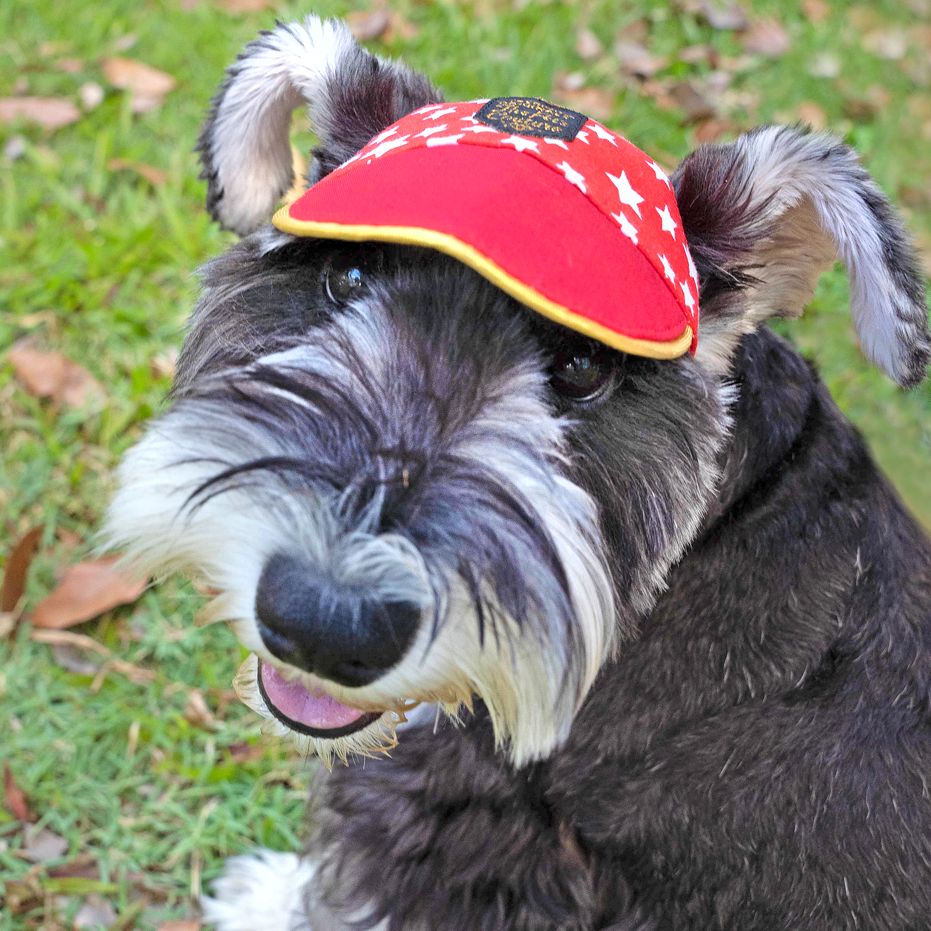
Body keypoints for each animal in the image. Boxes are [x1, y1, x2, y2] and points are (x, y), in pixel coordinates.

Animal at [105, 14, 931, 931]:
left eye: (581, 368)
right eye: (346, 275)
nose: (324, 619)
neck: (720, 528)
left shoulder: (453, 832)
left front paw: (265, 896)